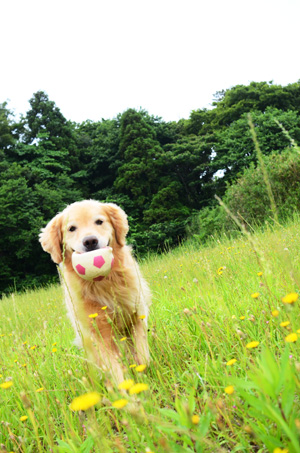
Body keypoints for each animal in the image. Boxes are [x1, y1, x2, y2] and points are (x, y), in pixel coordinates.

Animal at [39, 200, 151, 384]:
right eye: (72, 228)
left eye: (99, 221)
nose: (90, 241)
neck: (103, 282)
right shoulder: (99, 334)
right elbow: (115, 369)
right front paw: (125, 390)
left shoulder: (136, 315)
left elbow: (143, 356)